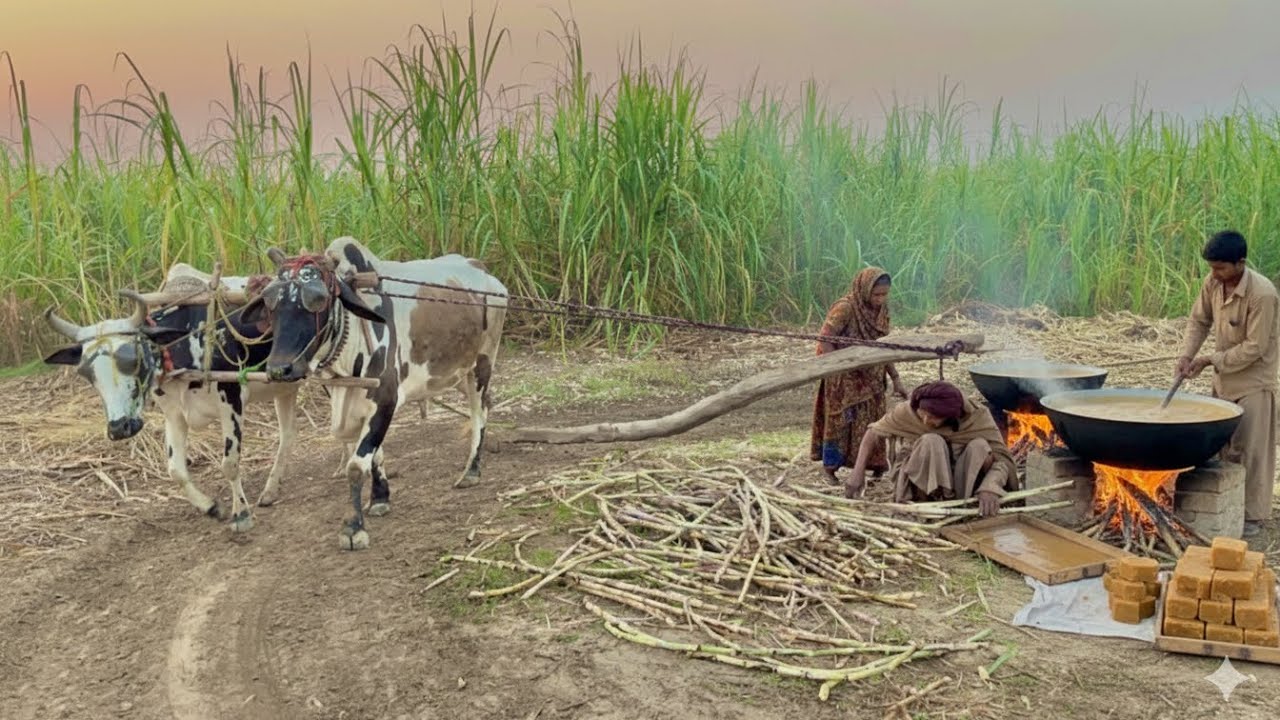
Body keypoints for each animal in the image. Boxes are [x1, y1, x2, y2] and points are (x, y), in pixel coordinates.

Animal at [42, 263, 299, 533]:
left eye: (133, 358)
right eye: (85, 372)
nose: (119, 428)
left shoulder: (231, 400)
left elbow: (230, 463)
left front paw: (241, 515)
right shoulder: (174, 414)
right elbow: (175, 469)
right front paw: (211, 506)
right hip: (285, 390)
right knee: (288, 435)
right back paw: (270, 492)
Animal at [249, 238, 507, 550]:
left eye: (319, 298)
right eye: (268, 299)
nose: (279, 369)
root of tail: (483, 270)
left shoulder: (385, 398)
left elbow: (356, 465)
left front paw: (353, 528)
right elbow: (375, 456)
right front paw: (380, 499)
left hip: (483, 361)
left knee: (478, 411)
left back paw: (471, 472)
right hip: (457, 372)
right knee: (487, 402)